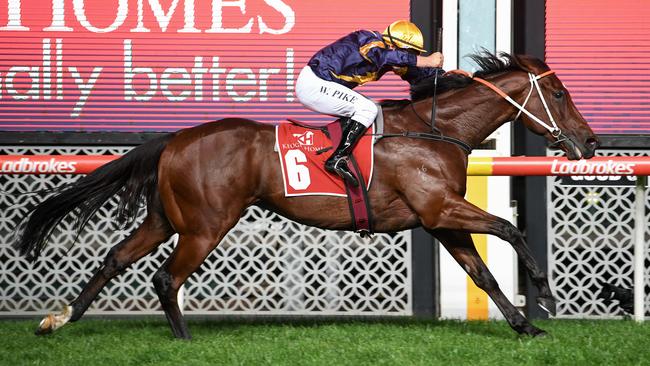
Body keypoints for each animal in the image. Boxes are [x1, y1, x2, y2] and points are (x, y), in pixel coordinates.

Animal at [12, 51, 596, 338]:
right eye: (560, 92)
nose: (589, 142)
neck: (434, 132)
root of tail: (175, 139)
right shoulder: (440, 207)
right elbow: (510, 228)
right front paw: (545, 296)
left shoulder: (439, 219)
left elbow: (484, 273)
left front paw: (525, 326)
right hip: (205, 225)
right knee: (165, 277)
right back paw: (183, 340)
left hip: (166, 219)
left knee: (116, 258)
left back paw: (58, 319)